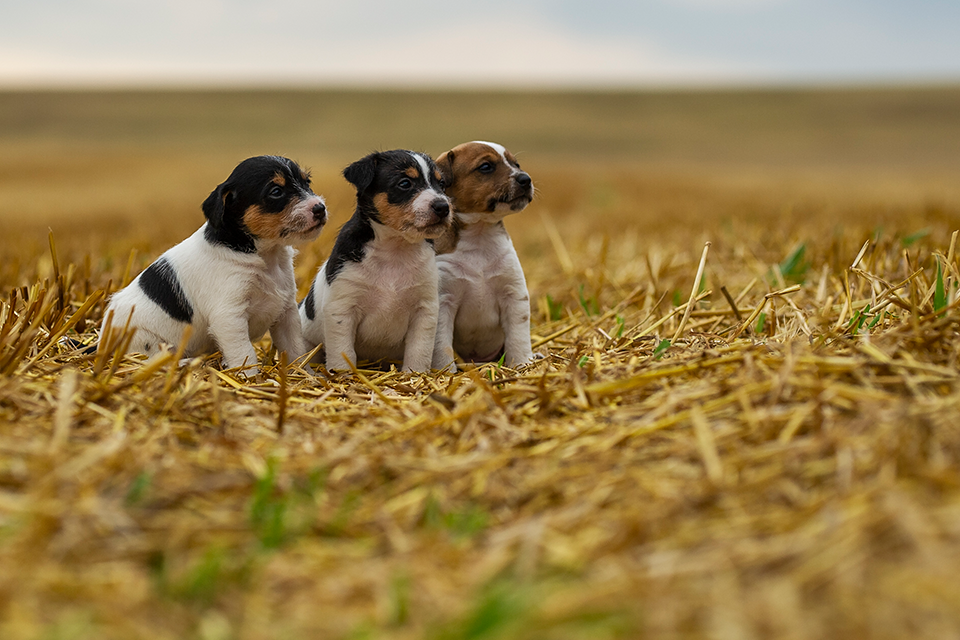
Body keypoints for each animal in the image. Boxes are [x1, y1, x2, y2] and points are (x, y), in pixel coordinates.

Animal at [101, 154, 326, 376]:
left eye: (307, 182)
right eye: (276, 192)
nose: (320, 208)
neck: (261, 254)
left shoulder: (286, 312)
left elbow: (295, 349)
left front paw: (304, 373)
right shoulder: (229, 317)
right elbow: (244, 354)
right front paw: (249, 377)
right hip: (145, 340)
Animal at [298, 150, 452, 372]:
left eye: (441, 184)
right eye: (405, 183)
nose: (443, 206)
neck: (395, 250)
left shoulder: (425, 310)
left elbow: (418, 351)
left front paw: (414, 374)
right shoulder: (342, 309)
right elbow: (344, 352)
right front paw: (343, 374)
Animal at [432, 140, 536, 370]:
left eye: (516, 164)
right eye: (486, 167)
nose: (526, 179)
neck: (480, 235)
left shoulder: (514, 295)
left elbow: (518, 338)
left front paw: (522, 364)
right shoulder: (444, 301)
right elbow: (442, 344)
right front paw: (446, 371)